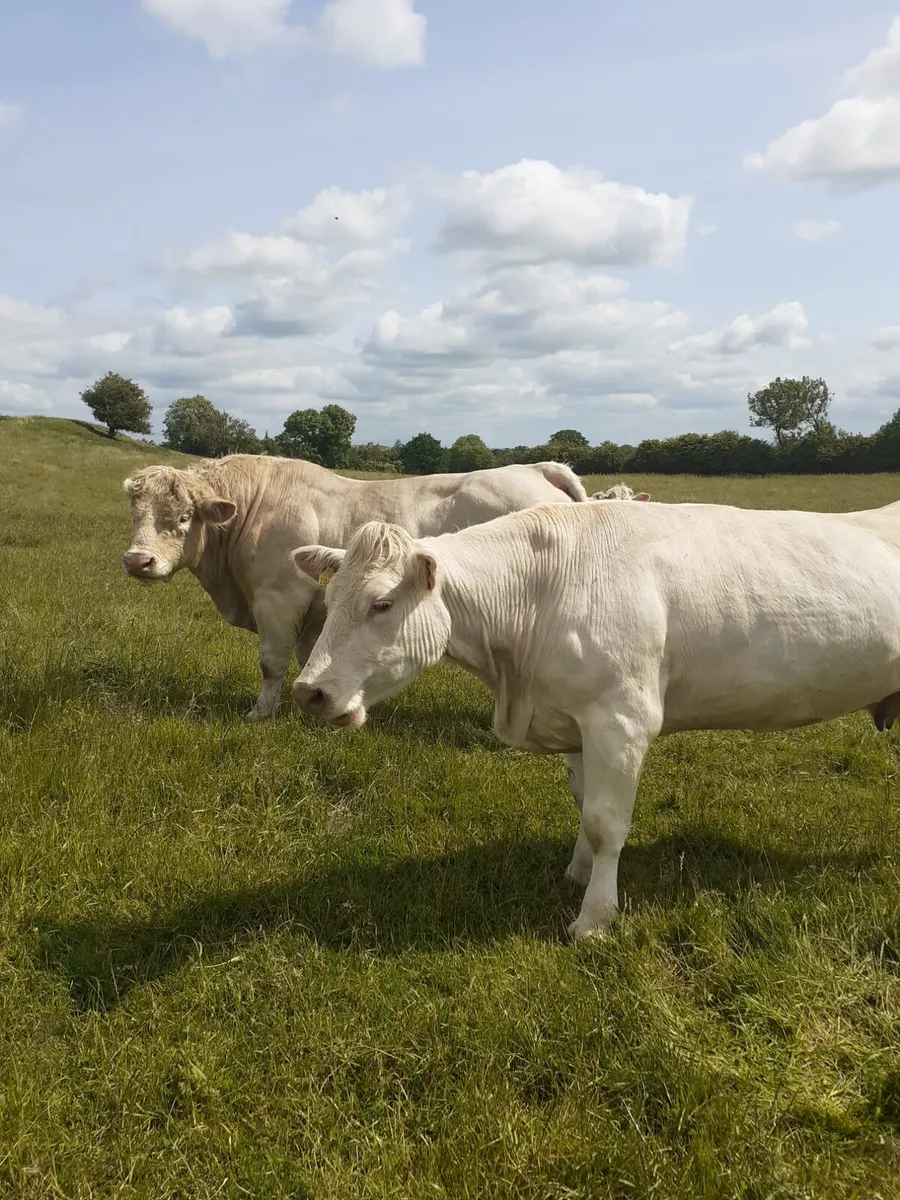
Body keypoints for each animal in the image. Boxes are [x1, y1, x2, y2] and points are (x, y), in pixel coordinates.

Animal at [121, 454, 587, 720]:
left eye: (184, 517)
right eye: (136, 514)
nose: (137, 561)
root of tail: (536, 468)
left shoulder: (279, 599)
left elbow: (271, 663)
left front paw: (260, 714)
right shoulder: (316, 612)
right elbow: (311, 657)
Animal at [289, 499, 900, 940]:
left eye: (382, 604)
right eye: (331, 599)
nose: (307, 691)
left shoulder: (620, 719)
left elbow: (607, 823)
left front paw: (594, 918)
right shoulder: (573, 721)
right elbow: (584, 809)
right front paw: (576, 874)